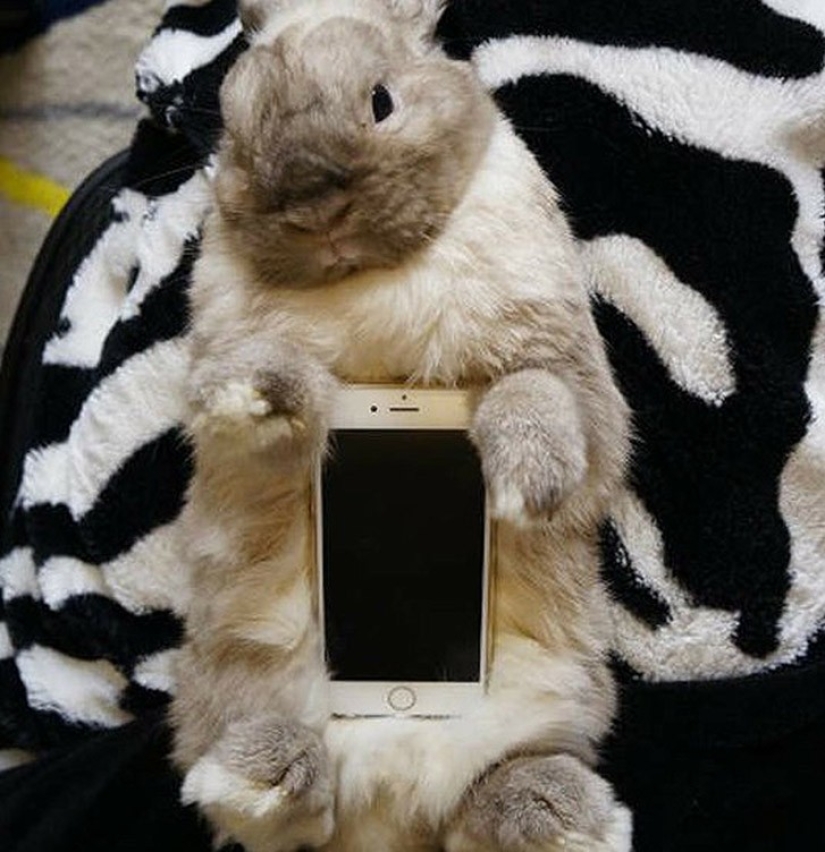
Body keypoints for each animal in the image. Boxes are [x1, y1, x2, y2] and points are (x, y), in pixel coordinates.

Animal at [169, 1, 633, 850]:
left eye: (381, 101)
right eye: (234, 127)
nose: (314, 210)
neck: (373, 276)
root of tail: (389, 803)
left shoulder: (571, 379)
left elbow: (538, 396)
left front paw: (524, 481)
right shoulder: (251, 429)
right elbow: (270, 399)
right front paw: (251, 392)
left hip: (553, 706)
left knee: (503, 785)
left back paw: (568, 824)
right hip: (232, 684)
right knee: (285, 790)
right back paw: (255, 780)